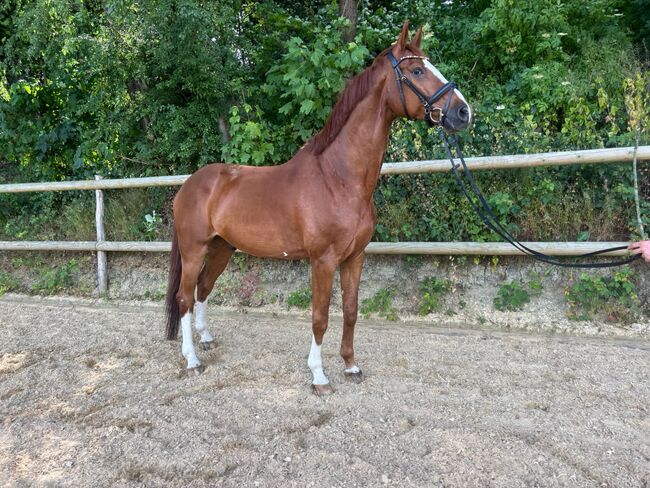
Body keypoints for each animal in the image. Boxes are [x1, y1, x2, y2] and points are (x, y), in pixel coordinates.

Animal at [165, 21, 472, 395]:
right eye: (416, 71)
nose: (463, 112)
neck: (338, 178)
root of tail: (189, 186)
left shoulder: (355, 257)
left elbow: (351, 310)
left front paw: (351, 366)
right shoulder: (323, 260)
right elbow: (320, 315)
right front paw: (319, 376)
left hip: (223, 247)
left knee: (204, 288)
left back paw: (206, 339)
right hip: (194, 248)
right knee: (184, 297)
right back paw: (192, 360)